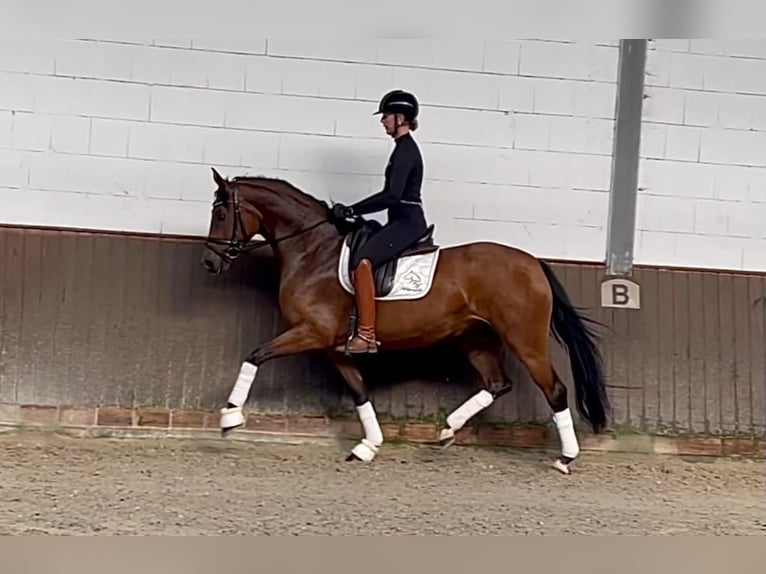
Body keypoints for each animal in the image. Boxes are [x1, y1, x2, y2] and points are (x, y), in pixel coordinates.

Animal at [200, 168, 612, 476]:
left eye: (220, 214)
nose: (209, 262)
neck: (313, 251)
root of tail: (533, 263)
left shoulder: (310, 332)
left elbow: (255, 355)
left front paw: (230, 417)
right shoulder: (334, 346)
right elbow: (360, 392)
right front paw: (368, 446)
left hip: (524, 340)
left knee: (554, 390)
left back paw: (564, 459)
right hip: (477, 339)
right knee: (498, 384)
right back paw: (448, 429)